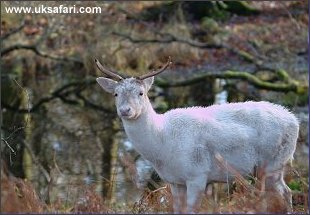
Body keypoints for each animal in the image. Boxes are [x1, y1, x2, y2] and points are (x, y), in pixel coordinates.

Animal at [94, 57, 298, 213]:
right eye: (116, 94)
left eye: (141, 92)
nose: (125, 110)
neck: (162, 146)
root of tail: (294, 120)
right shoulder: (174, 181)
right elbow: (178, 210)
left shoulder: (198, 174)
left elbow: (192, 210)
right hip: (268, 168)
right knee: (278, 193)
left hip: (272, 162)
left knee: (280, 194)